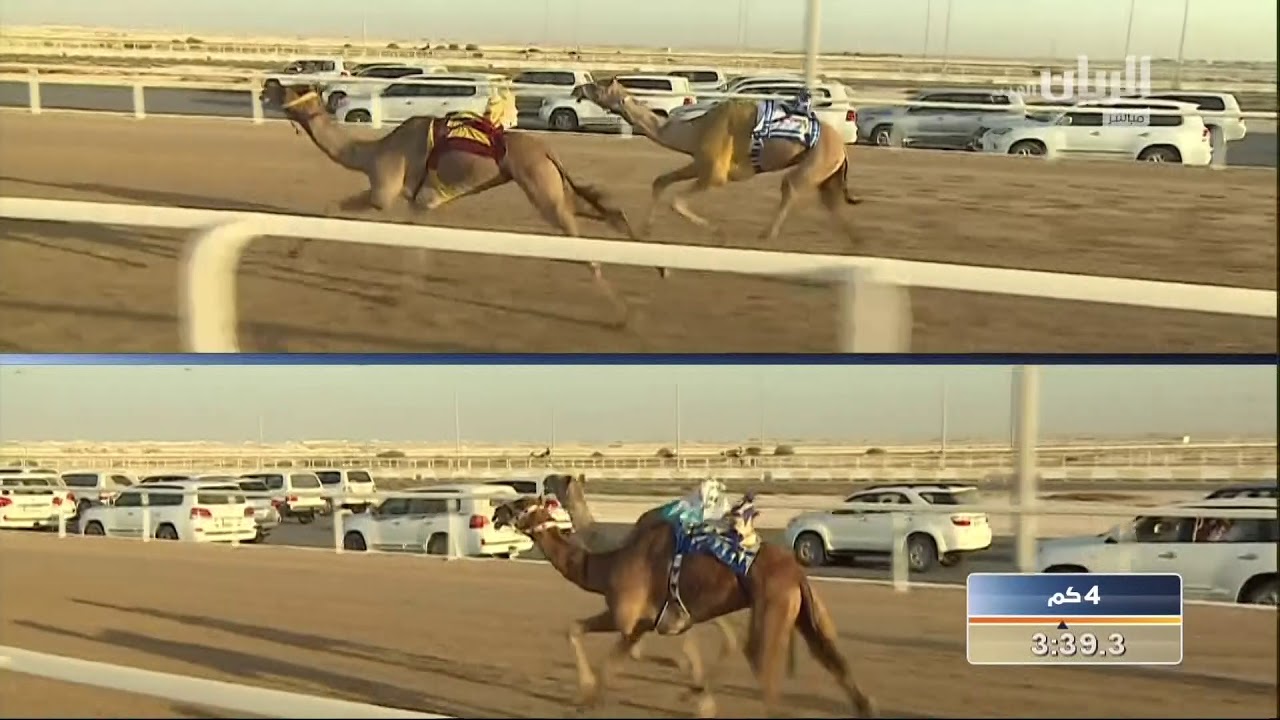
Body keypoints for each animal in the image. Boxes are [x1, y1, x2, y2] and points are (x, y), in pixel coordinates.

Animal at [260, 80, 659, 325]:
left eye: (290, 89)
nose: (268, 85)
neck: (371, 153)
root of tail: (547, 148)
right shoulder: (421, 203)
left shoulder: (385, 195)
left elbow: (346, 212)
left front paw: (400, 298)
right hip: (552, 184)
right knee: (606, 210)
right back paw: (658, 267)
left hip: (541, 188)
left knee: (582, 245)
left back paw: (625, 314)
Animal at [492, 496, 876, 718]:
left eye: (521, 504)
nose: (496, 511)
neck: (606, 566)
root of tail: (797, 571)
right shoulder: (656, 621)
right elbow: (595, 642)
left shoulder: (628, 618)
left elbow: (603, 657)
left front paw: (585, 699)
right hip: (802, 613)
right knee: (833, 662)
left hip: (774, 608)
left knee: (765, 675)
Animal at [571, 78, 862, 244]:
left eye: (597, 86)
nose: (577, 87)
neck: (695, 129)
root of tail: (841, 146)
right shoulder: (698, 161)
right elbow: (660, 181)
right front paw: (644, 229)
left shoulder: (715, 173)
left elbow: (677, 201)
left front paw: (718, 232)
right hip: (828, 173)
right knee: (830, 201)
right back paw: (857, 242)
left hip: (818, 161)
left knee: (790, 186)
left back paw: (764, 236)